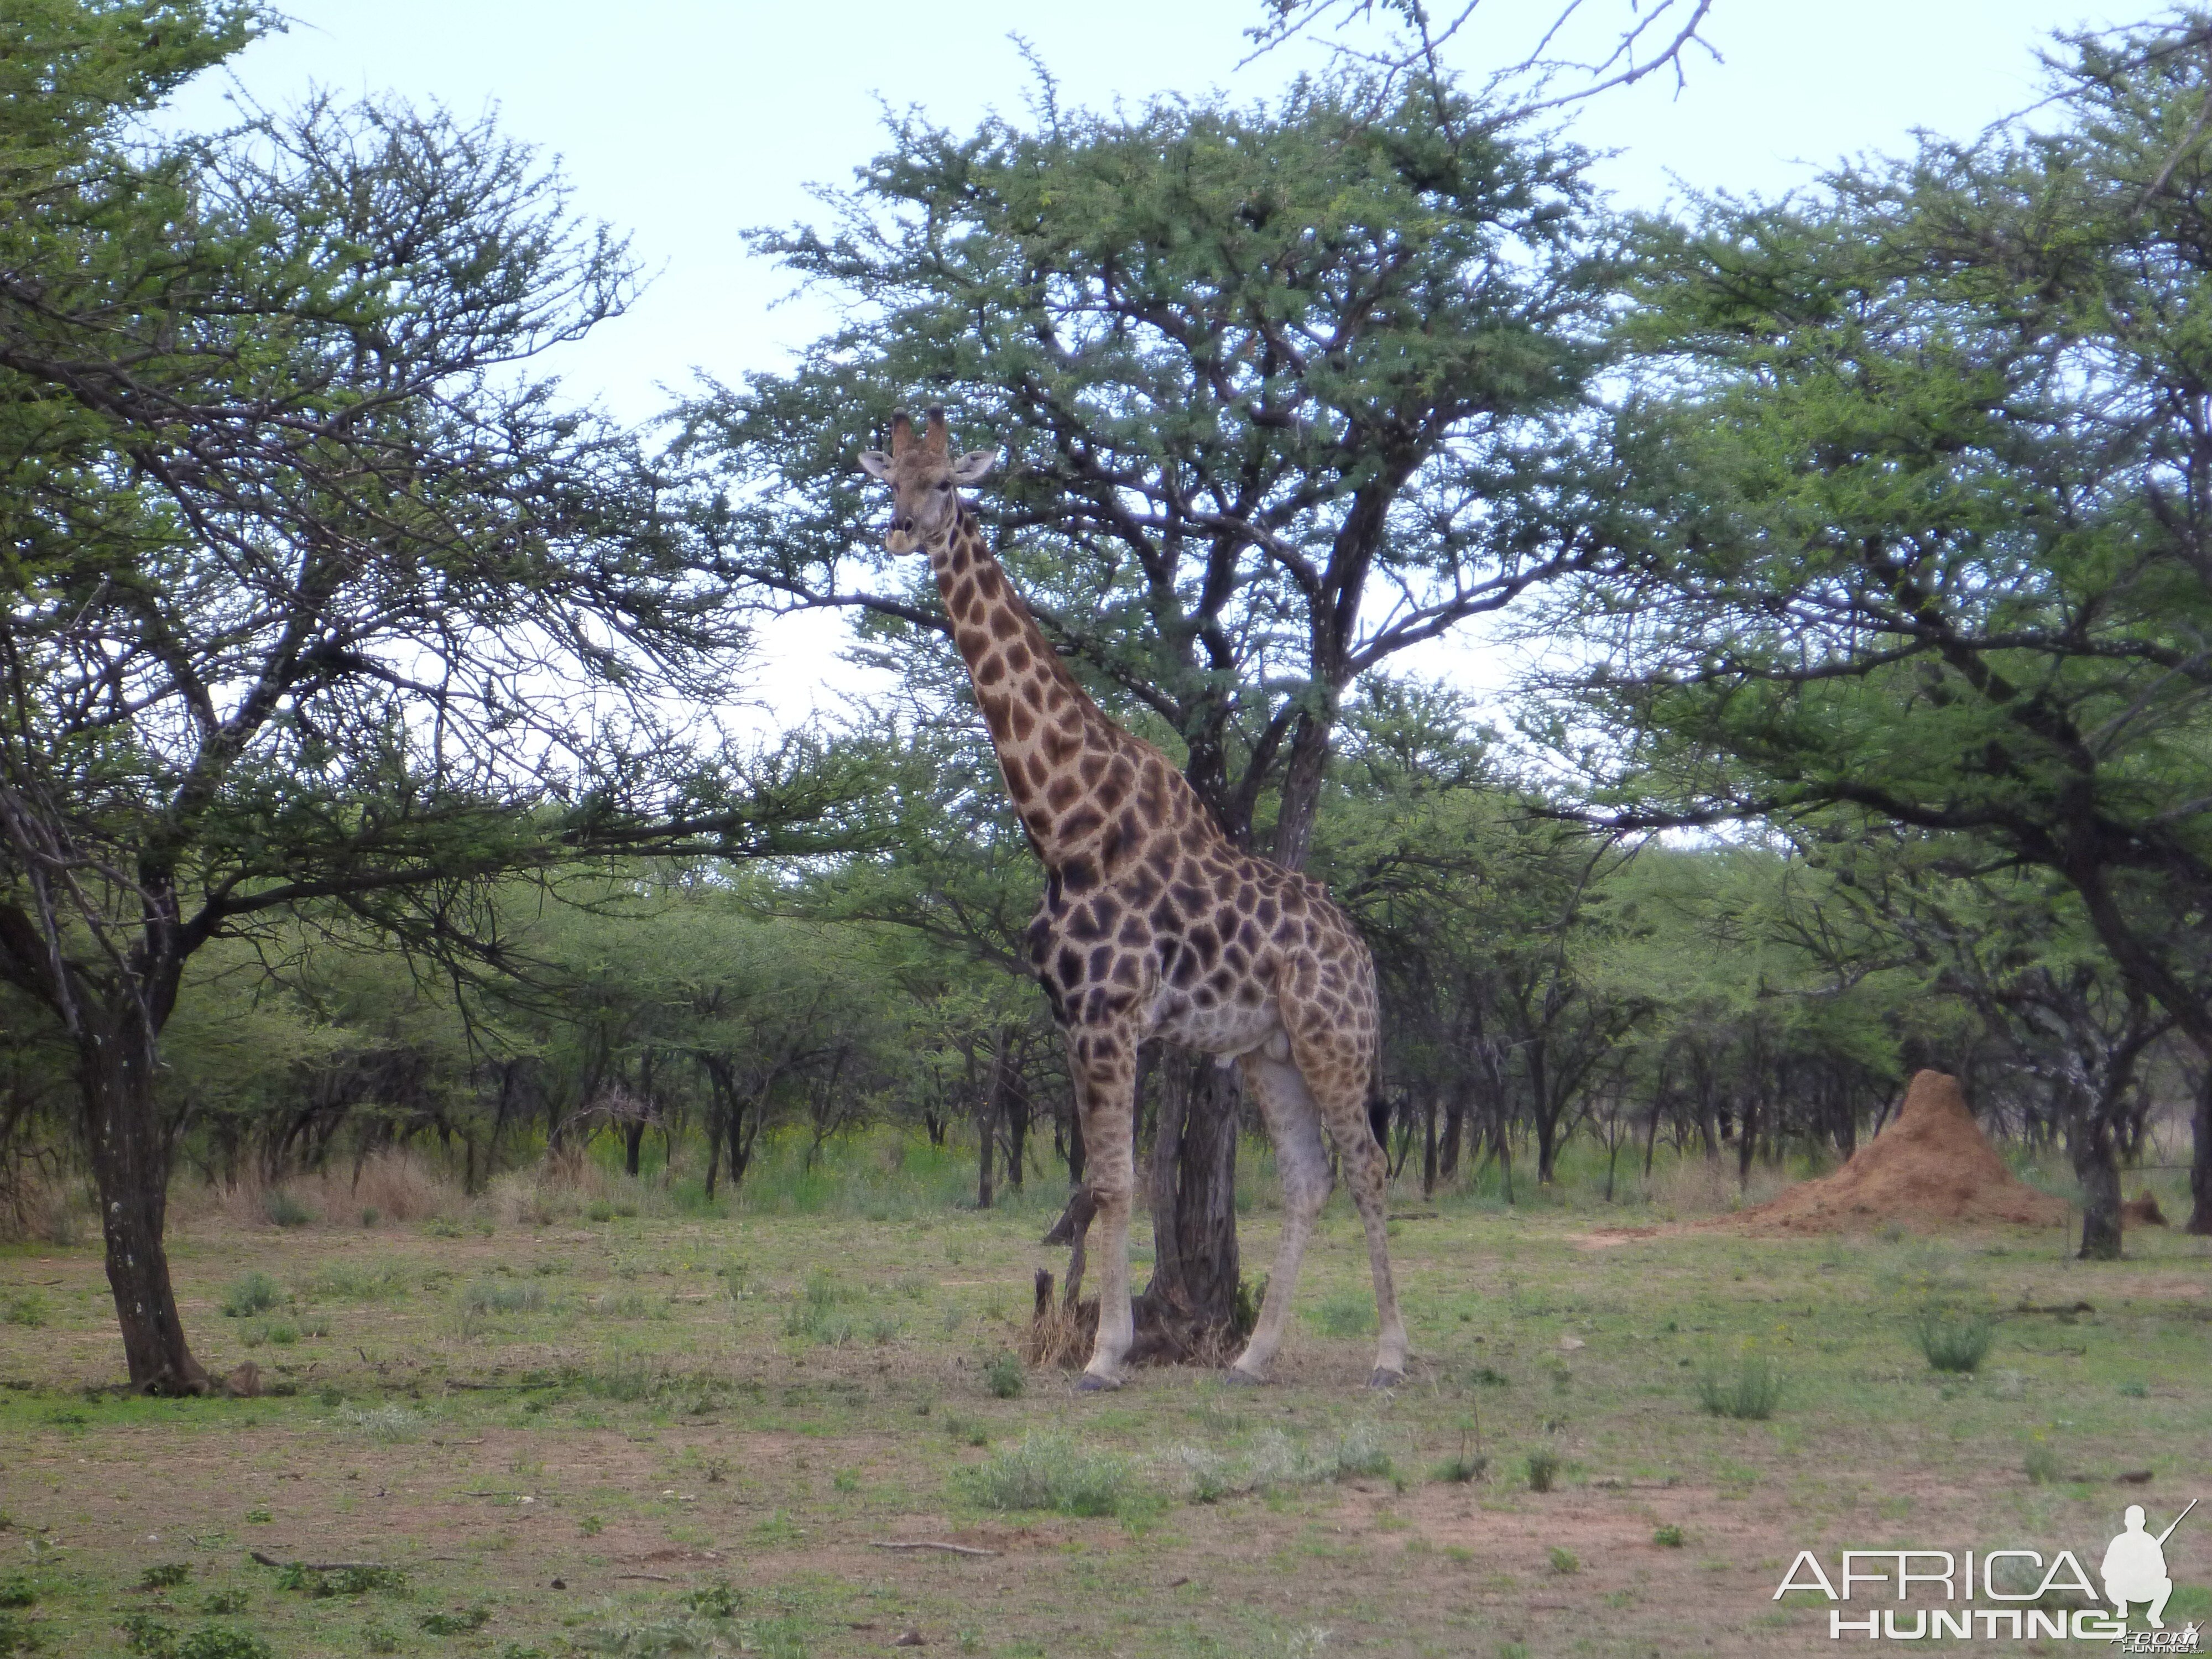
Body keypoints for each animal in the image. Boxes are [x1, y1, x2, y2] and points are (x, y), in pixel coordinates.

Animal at [854, 409, 1407, 1398]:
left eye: (949, 482)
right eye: (891, 481)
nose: (902, 531)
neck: (1064, 823)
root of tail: (1360, 948)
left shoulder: (1109, 1014)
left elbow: (1115, 1183)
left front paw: (1106, 1358)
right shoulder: (1075, 1016)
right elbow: (1105, 1181)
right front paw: (1113, 1347)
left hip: (1334, 1039)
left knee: (1370, 1166)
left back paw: (1389, 1356)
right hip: (1268, 1051)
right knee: (1309, 1178)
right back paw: (1252, 1358)